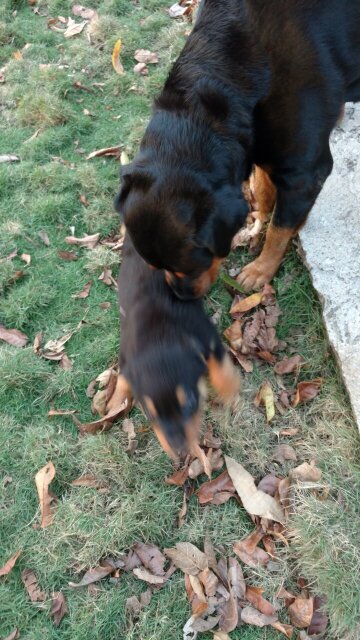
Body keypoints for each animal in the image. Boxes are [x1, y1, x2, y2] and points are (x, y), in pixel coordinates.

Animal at [108, 235, 240, 460]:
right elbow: (124, 379)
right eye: (150, 412)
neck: (157, 338)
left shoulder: (205, 332)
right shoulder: (126, 355)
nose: (181, 452)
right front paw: (114, 403)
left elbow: (219, 365)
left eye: (190, 402)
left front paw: (230, 389)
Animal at [114, 0, 360, 298]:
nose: (180, 296)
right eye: (154, 266)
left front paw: (260, 269)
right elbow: (265, 184)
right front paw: (262, 215)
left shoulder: (306, 171)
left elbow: (279, 230)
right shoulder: (259, 142)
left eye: (197, 262)